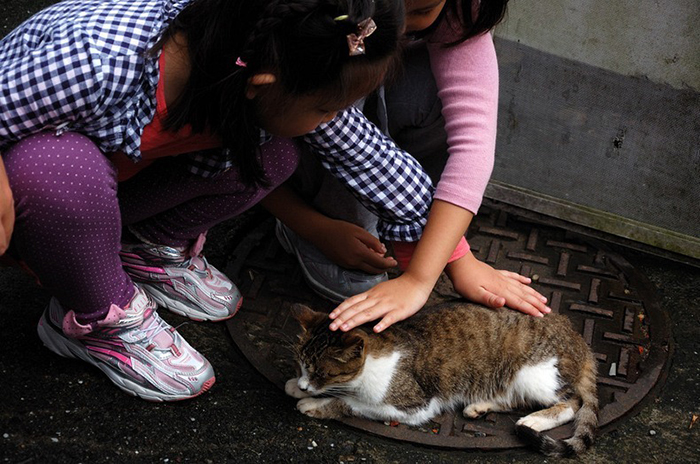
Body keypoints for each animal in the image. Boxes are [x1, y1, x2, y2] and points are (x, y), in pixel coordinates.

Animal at [284, 300, 596, 456]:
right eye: (300, 365)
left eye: (321, 372)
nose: (303, 383)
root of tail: (578, 337)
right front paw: (298, 389)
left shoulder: (414, 406)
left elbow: (352, 403)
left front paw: (313, 403)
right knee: (514, 398)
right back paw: (479, 405)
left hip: (535, 373)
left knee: (572, 403)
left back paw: (534, 421)